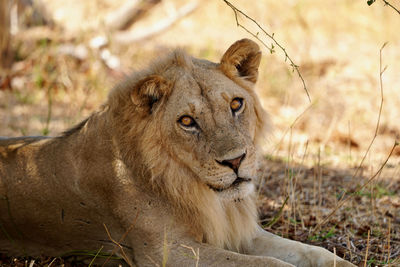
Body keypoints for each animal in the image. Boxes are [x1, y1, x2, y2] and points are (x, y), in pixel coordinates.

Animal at [0, 38, 356, 266]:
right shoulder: (171, 251)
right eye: (187, 121)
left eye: (236, 104)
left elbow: (315, 253)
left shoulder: (242, 233)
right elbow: (268, 264)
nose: (236, 161)